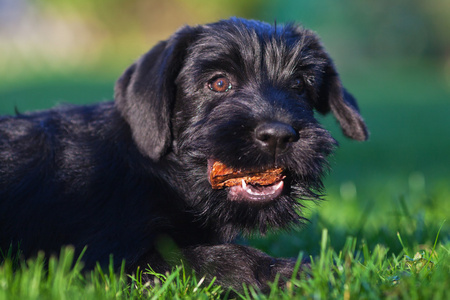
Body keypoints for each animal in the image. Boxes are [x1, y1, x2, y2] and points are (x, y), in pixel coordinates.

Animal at [0, 17, 366, 292]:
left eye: (300, 85)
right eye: (218, 83)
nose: (278, 136)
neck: (159, 173)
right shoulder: (106, 260)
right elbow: (219, 257)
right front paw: (297, 272)